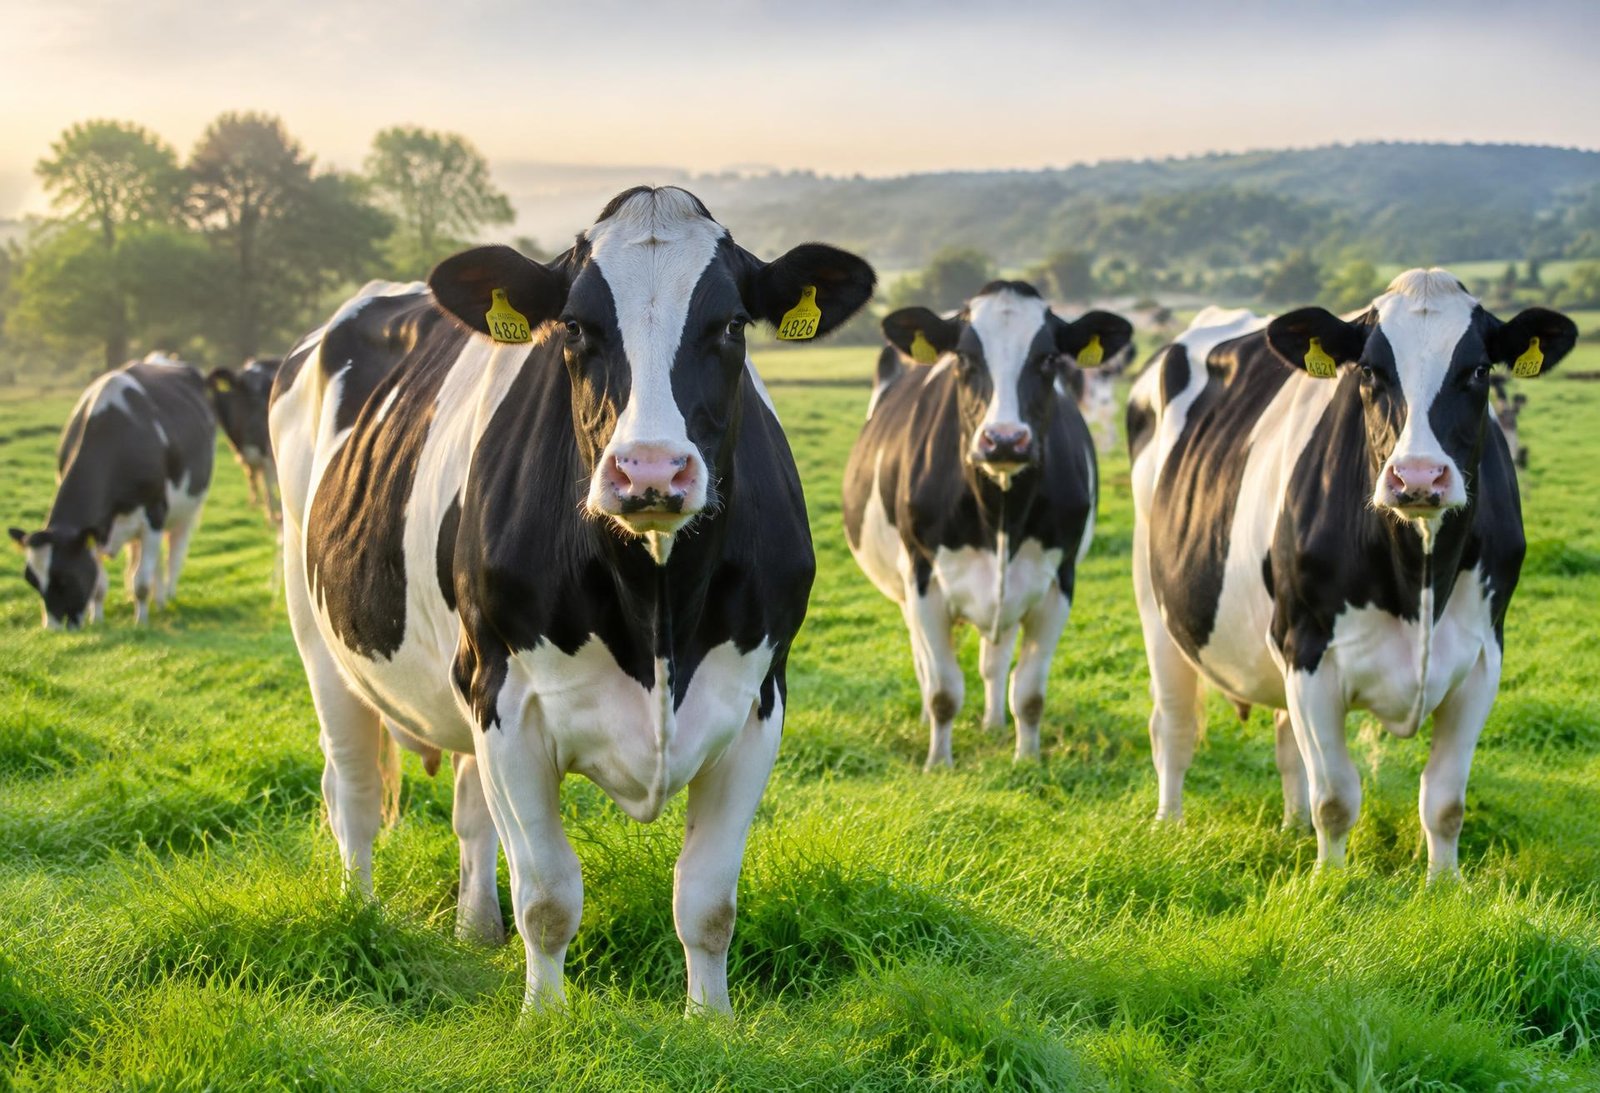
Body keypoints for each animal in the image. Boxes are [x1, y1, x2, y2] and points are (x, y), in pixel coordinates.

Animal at [9, 354, 214, 629]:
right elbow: (100, 585)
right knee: (148, 559)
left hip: (187, 510)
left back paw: (167, 597)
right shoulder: (95, 529)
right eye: (32, 581)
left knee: (174, 552)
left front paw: (141, 623)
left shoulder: (154, 514)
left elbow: (141, 581)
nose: (52, 630)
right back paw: (157, 600)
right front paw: (97, 620)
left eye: (65, 578)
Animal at [270, 186, 874, 1013]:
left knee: (468, 809)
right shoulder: (507, 698)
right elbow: (549, 896)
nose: (650, 469)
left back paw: (474, 928)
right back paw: (358, 915)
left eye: (730, 324)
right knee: (354, 794)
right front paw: (545, 1019)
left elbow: (708, 901)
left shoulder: (759, 700)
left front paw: (711, 1019)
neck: (657, 612)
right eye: (577, 326)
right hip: (324, 641)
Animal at [842, 282, 1132, 768]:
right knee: (925, 662)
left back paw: (994, 723)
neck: (1000, 511)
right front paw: (938, 763)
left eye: (1049, 359)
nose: (1005, 440)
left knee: (994, 661)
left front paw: (1026, 760)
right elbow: (943, 688)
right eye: (963, 358)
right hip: (905, 586)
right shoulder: (923, 577)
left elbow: (1029, 692)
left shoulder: (1057, 580)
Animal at [1128, 273, 1576, 878]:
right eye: (1368, 370)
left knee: (1284, 740)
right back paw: (1169, 825)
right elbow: (1337, 797)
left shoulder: (1483, 657)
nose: (1418, 477)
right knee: (1173, 725)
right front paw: (1329, 882)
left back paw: (1291, 828)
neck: (1420, 578)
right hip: (1157, 601)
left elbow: (1445, 801)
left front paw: (1444, 885)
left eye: (1479, 370)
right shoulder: (1308, 648)